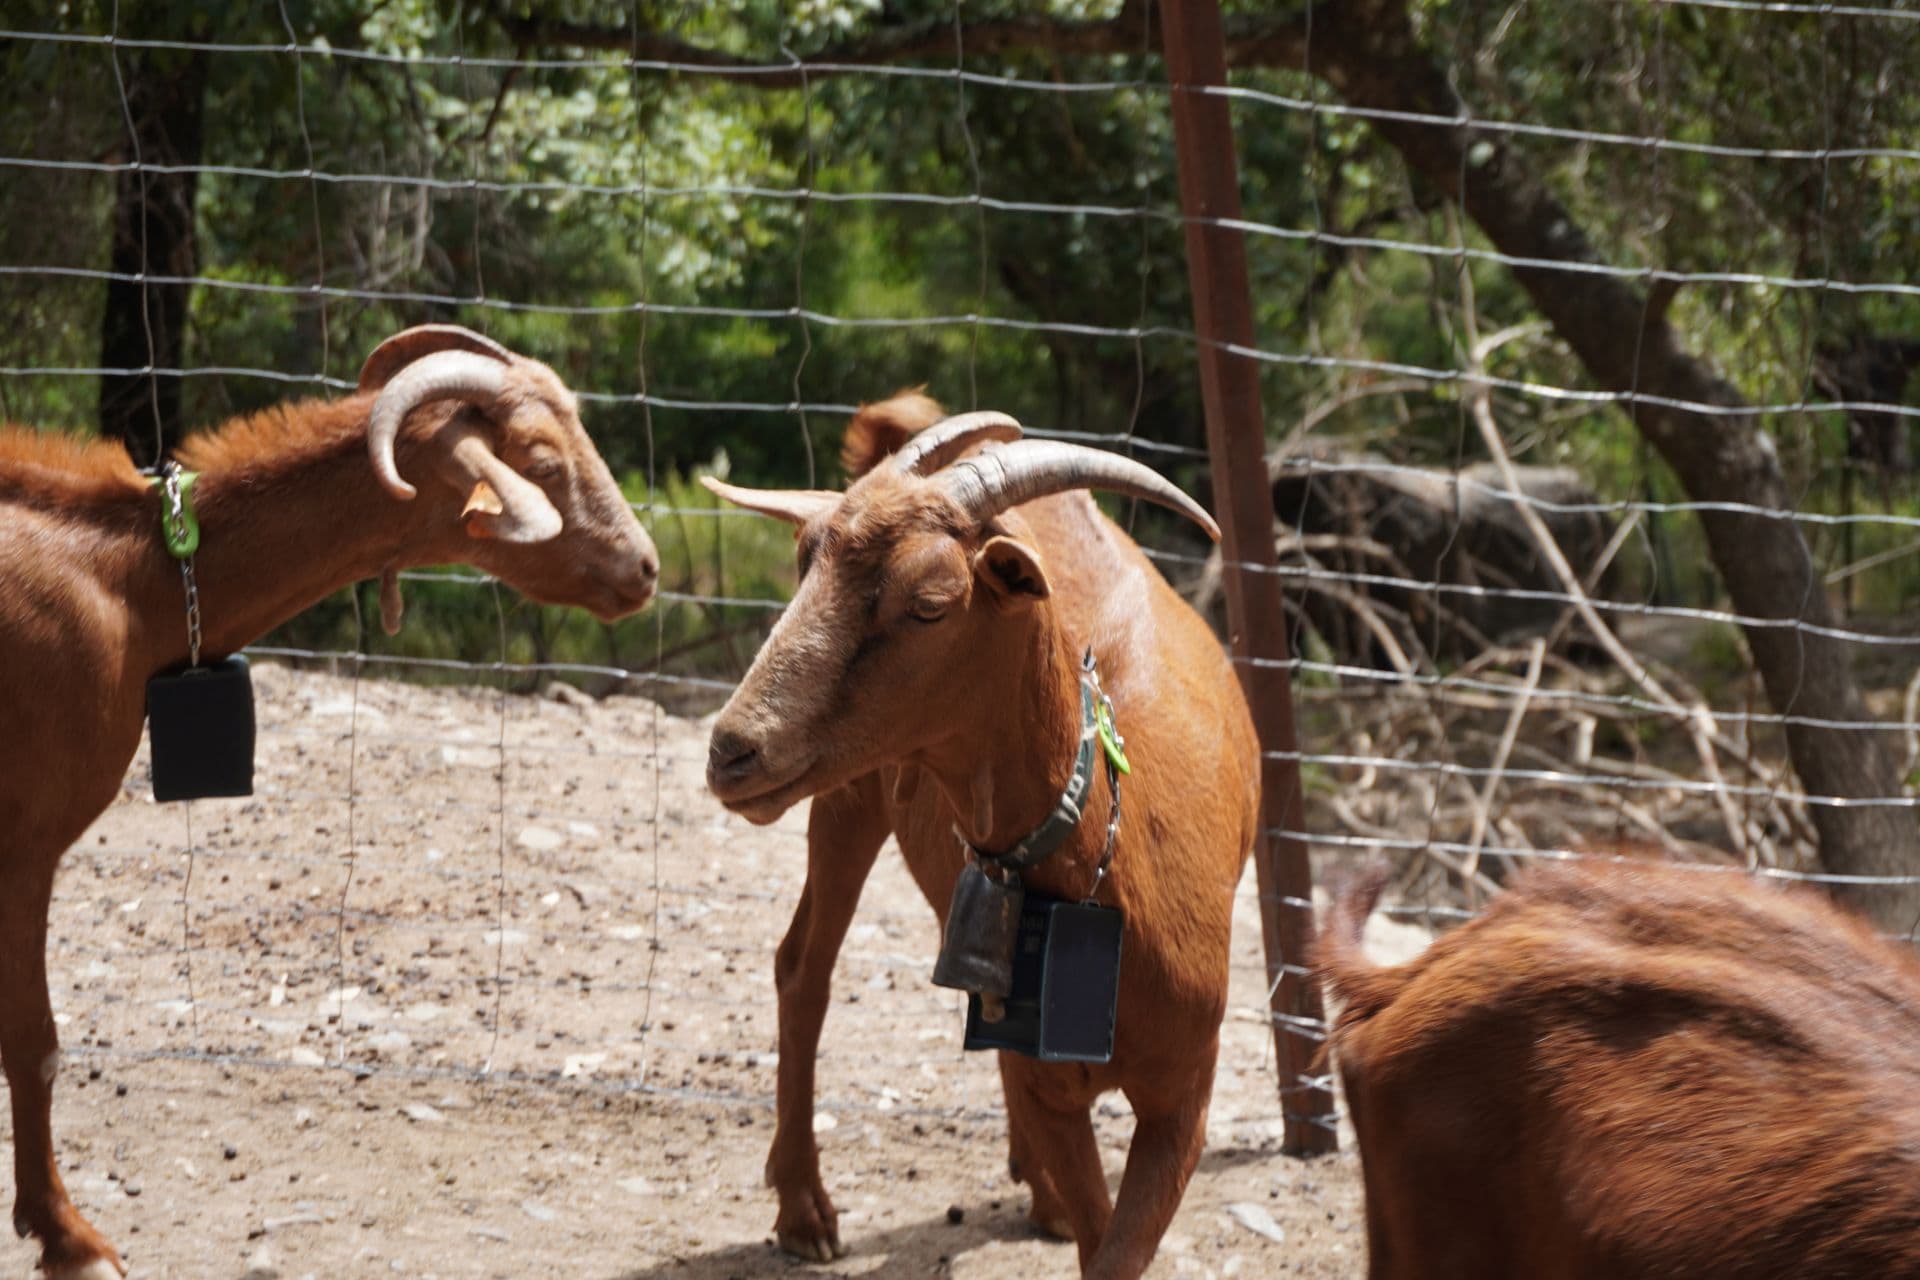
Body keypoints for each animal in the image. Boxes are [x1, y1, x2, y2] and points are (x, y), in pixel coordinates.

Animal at [0, 325, 658, 1279]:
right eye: (537, 459)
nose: (645, 568)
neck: (130, 578)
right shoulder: (24, 843)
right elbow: (35, 1041)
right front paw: (71, 1238)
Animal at [702, 393, 1259, 1278]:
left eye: (930, 603)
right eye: (803, 563)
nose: (732, 751)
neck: (1115, 866)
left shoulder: (1184, 1098)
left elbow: (1116, 1247)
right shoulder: (1055, 1092)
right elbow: (1099, 1237)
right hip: (848, 796)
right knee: (802, 964)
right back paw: (804, 1211)